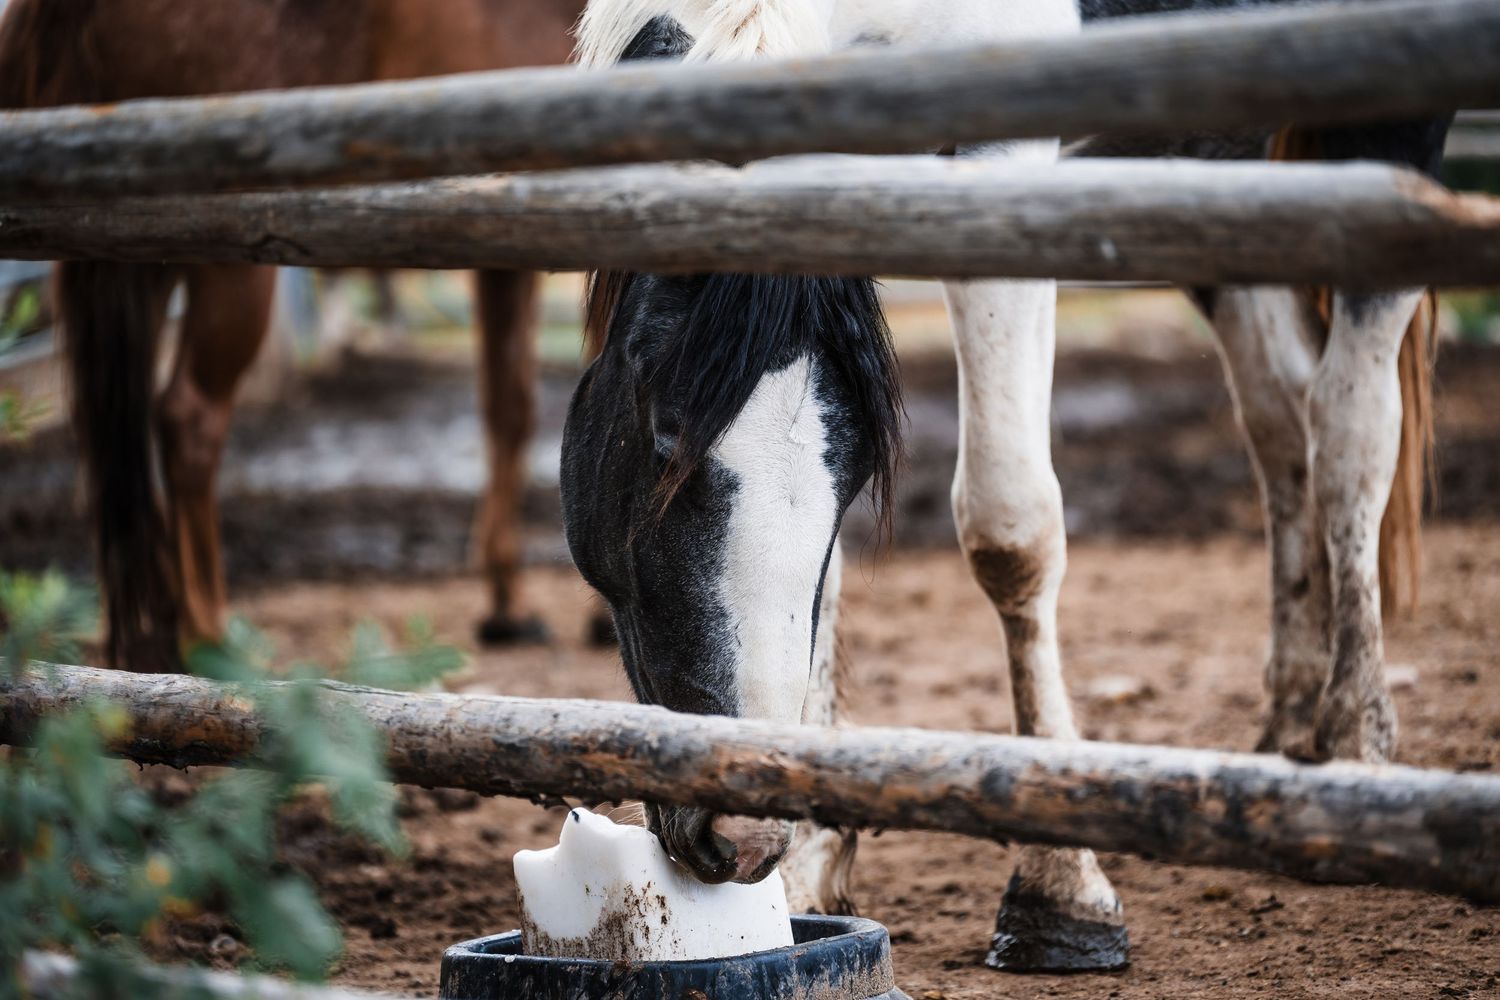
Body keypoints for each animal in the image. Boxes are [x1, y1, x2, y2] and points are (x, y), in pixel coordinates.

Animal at [0, 0, 584, 672]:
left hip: (131, 254)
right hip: (225, 263)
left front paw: (515, 607)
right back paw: (211, 642)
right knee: (188, 418)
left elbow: (510, 409)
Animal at [560, 0, 1448, 974]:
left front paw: (1062, 887)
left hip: (1384, 143)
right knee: (1280, 421)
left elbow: (1009, 526)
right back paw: (1290, 729)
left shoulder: (1004, 160)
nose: (745, 838)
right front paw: (806, 870)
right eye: (660, 437)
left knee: (1350, 429)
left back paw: (1356, 743)